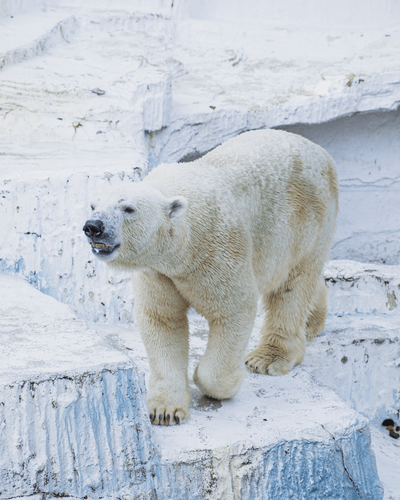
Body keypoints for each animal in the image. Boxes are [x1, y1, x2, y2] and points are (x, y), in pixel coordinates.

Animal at [83, 129, 338, 426]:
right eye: (93, 205)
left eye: (128, 209)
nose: (93, 226)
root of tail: (319, 150)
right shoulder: (159, 272)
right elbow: (163, 320)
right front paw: (166, 411)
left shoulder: (217, 249)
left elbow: (233, 309)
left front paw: (217, 384)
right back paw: (312, 322)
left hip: (306, 218)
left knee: (293, 286)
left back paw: (267, 358)